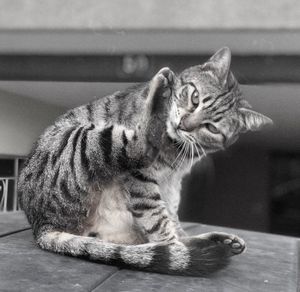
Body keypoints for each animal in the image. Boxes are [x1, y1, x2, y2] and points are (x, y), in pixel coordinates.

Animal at [18, 47, 272, 276]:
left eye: (211, 128)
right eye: (195, 97)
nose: (184, 125)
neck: (178, 151)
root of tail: (41, 226)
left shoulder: (167, 186)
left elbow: (166, 223)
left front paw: (180, 251)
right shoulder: (140, 178)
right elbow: (159, 222)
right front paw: (179, 254)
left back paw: (219, 242)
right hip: (81, 140)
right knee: (139, 146)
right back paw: (159, 92)